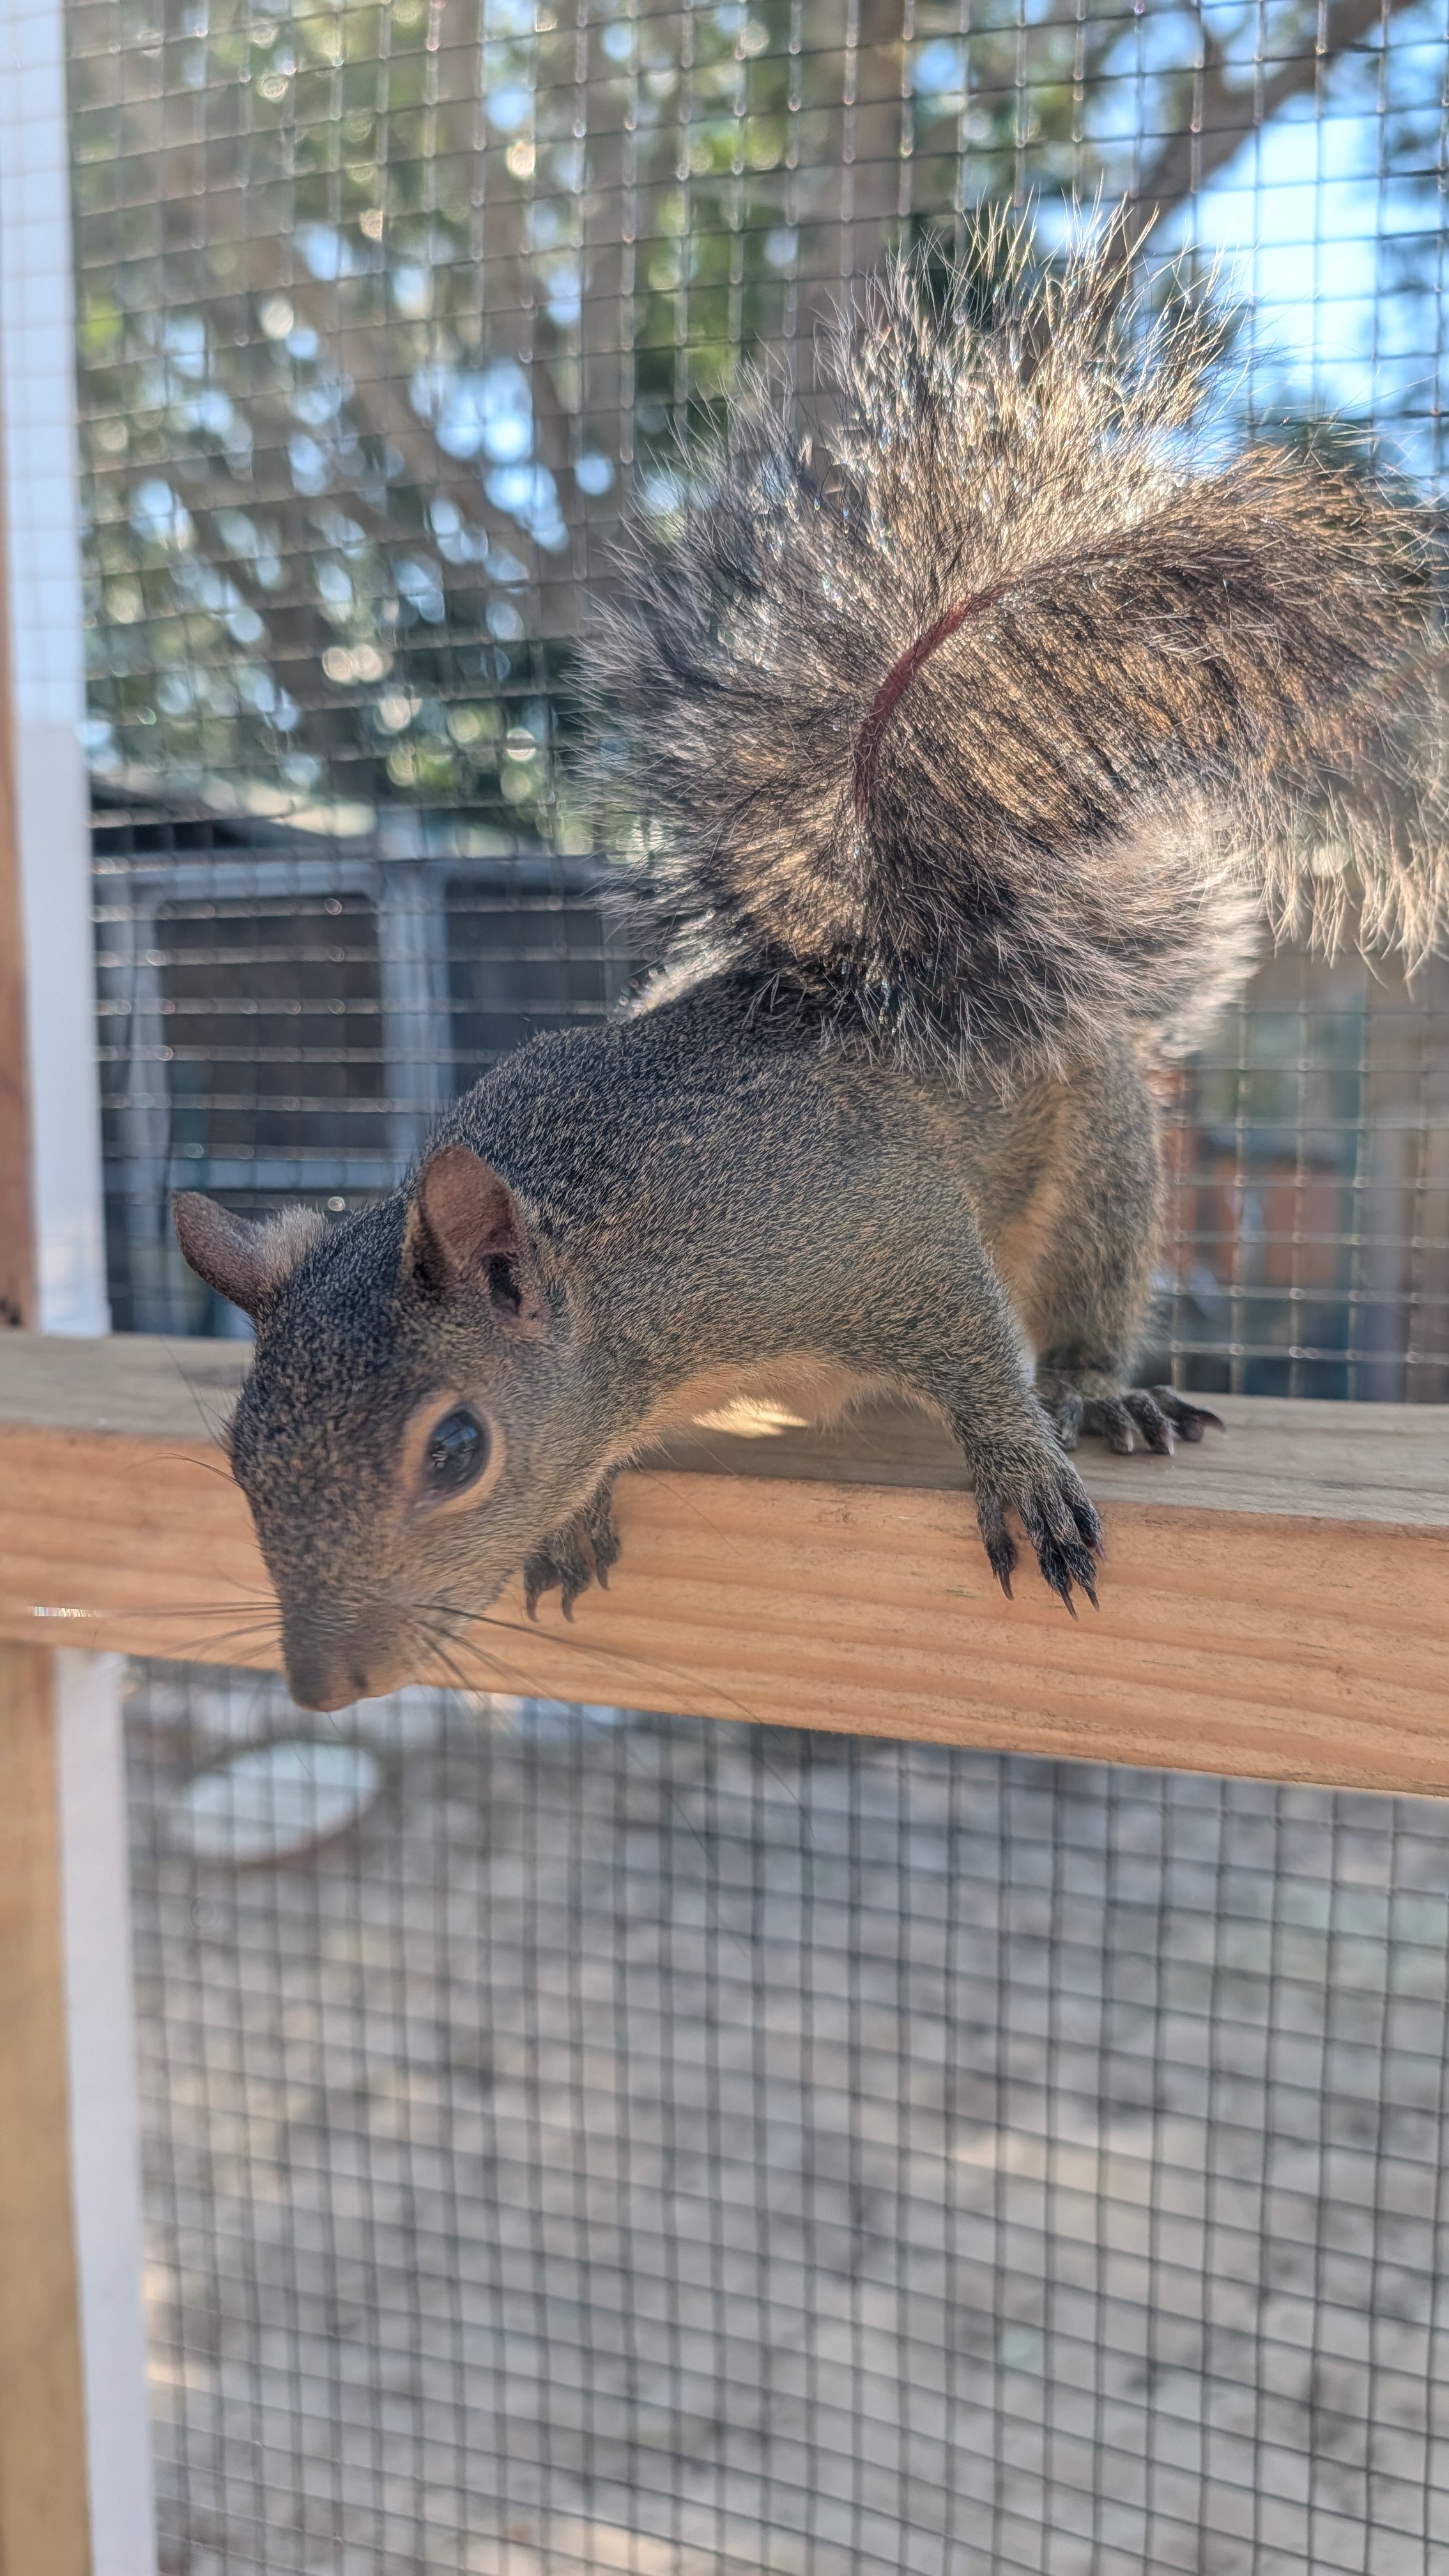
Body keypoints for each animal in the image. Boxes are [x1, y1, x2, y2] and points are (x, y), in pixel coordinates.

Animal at [173, 218, 1446, 1714]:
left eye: (456, 1449)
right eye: (239, 1456)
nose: (323, 1687)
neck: (622, 1274)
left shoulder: (857, 1219)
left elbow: (969, 1337)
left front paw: (1019, 1464)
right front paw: (580, 1508)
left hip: (1101, 1167)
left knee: (1080, 1295)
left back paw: (1096, 1387)